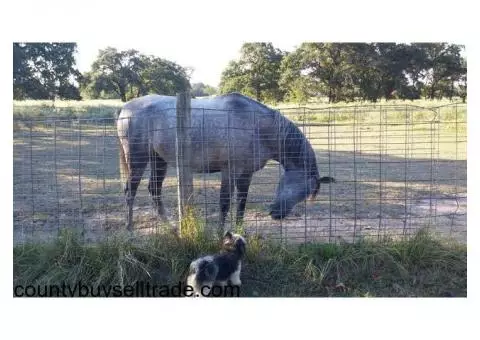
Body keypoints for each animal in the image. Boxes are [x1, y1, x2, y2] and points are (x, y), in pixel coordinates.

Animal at [116, 93, 334, 231]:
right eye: (296, 185)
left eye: (305, 193)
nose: (276, 214)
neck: (255, 125)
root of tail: (125, 109)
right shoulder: (230, 171)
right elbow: (224, 203)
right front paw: (220, 234)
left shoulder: (246, 174)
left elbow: (242, 202)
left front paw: (239, 230)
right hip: (138, 160)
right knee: (130, 191)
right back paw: (129, 227)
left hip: (159, 160)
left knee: (154, 189)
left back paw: (170, 227)